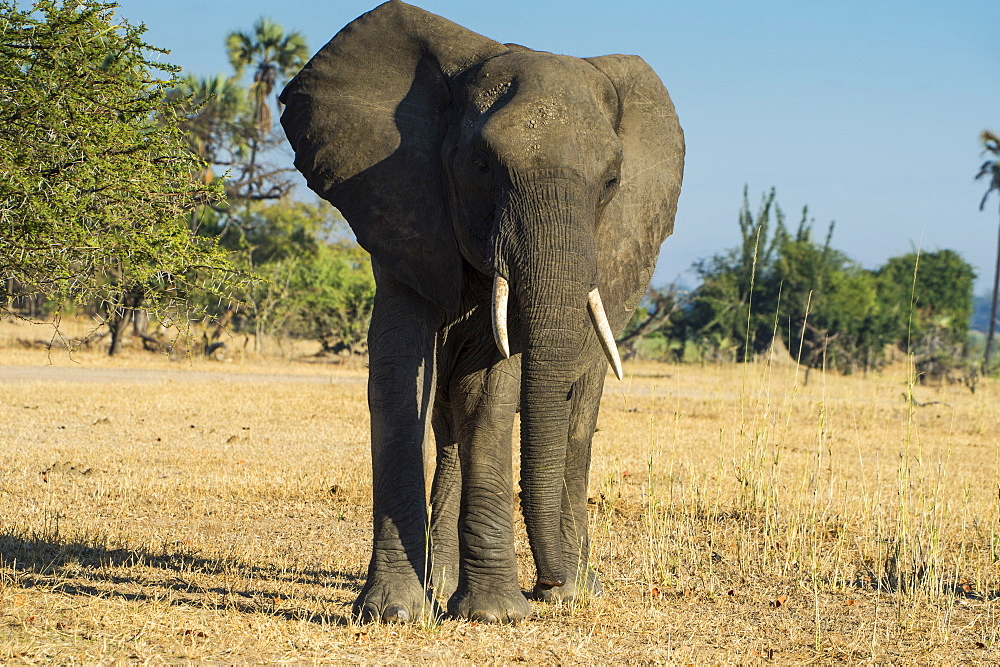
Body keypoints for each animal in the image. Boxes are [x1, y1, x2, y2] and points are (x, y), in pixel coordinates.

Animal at [282, 1, 688, 628]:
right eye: (479, 164)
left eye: (612, 182)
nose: (549, 583)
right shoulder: (405, 215)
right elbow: (403, 375)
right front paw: (393, 612)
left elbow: (493, 387)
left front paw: (497, 615)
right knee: (447, 417)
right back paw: (451, 586)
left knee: (574, 413)